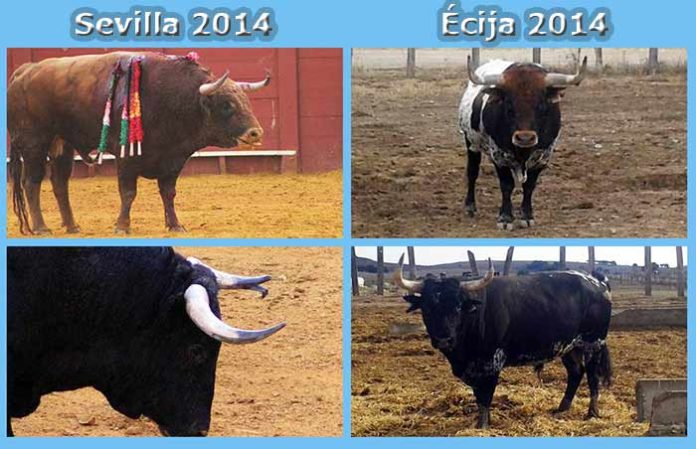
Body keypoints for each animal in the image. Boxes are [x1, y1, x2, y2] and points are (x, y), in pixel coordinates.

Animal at [8, 51, 270, 234]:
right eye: (226, 104)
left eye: (246, 101)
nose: (256, 133)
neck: (173, 98)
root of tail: (25, 71)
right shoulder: (127, 157)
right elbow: (128, 192)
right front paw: (122, 226)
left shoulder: (173, 159)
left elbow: (168, 193)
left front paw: (175, 225)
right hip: (35, 143)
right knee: (31, 183)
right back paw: (41, 227)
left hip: (63, 143)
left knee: (60, 183)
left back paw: (72, 226)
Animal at [394, 254, 612, 428]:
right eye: (427, 308)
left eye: (457, 306)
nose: (443, 339)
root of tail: (596, 282)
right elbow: (478, 396)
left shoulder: (492, 363)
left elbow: (485, 398)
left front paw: (482, 426)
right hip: (569, 346)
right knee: (575, 373)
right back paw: (562, 408)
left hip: (593, 343)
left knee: (592, 377)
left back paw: (592, 413)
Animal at [462, 56, 588, 229]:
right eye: (509, 105)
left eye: (541, 105)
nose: (525, 138)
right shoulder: (499, 155)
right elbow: (506, 185)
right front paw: (505, 218)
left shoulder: (543, 156)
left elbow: (529, 186)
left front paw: (527, 216)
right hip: (471, 142)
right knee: (472, 172)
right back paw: (470, 206)